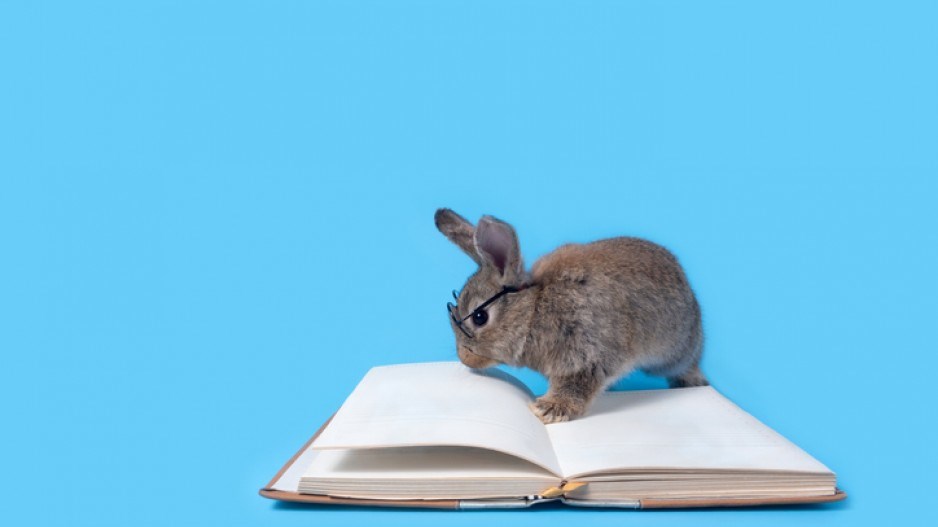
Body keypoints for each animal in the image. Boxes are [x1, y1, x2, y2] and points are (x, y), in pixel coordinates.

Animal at [436, 209, 704, 424]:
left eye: (479, 317)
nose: (465, 359)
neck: (533, 311)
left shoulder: (589, 354)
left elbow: (577, 384)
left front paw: (547, 409)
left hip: (675, 354)